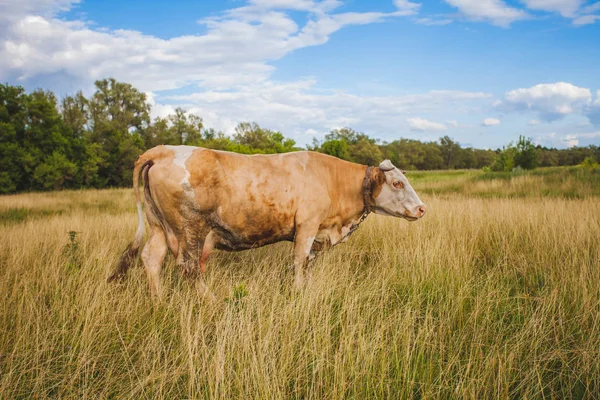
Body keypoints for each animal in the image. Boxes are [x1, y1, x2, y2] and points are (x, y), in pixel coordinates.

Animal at [108, 145, 426, 296]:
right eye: (397, 183)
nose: (422, 209)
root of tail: (163, 150)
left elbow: (308, 265)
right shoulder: (307, 227)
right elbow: (299, 263)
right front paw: (298, 292)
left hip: (159, 227)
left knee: (152, 259)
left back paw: (158, 301)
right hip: (189, 230)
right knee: (189, 268)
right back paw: (211, 302)